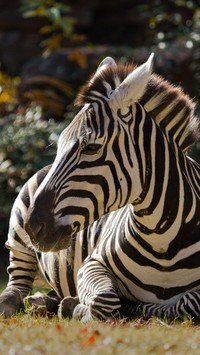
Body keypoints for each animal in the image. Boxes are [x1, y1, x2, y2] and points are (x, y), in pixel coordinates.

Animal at [0, 53, 199, 322]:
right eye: (59, 145)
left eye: (92, 147)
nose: (34, 226)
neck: (163, 241)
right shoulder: (92, 264)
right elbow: (106, 300)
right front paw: (77, 307)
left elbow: (188, 303)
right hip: (18, 235)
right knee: (16, 282)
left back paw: (45, 302)